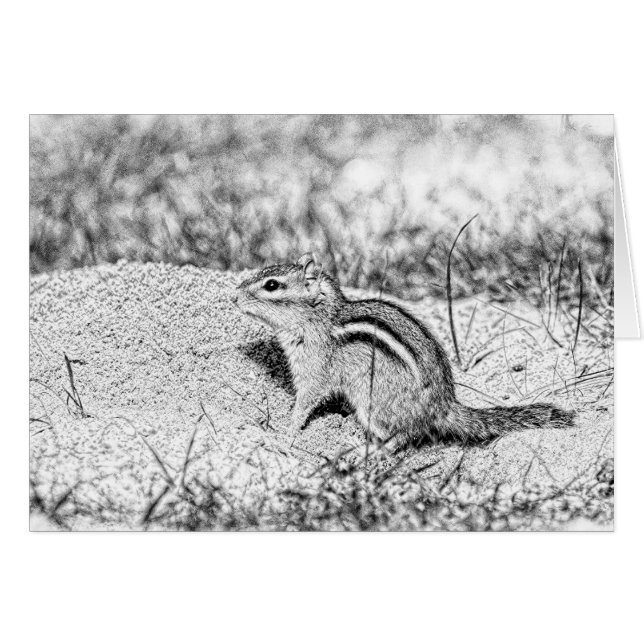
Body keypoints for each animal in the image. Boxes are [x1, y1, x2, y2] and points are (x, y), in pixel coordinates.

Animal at [235, 253, 575, 452]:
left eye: (272, 285)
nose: (234, 296)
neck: (320, 318)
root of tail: (443, 406)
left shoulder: (315, 369)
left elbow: (305, 401)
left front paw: (286, 431)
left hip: (371, 402)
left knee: (405, 436)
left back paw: (367, 452)